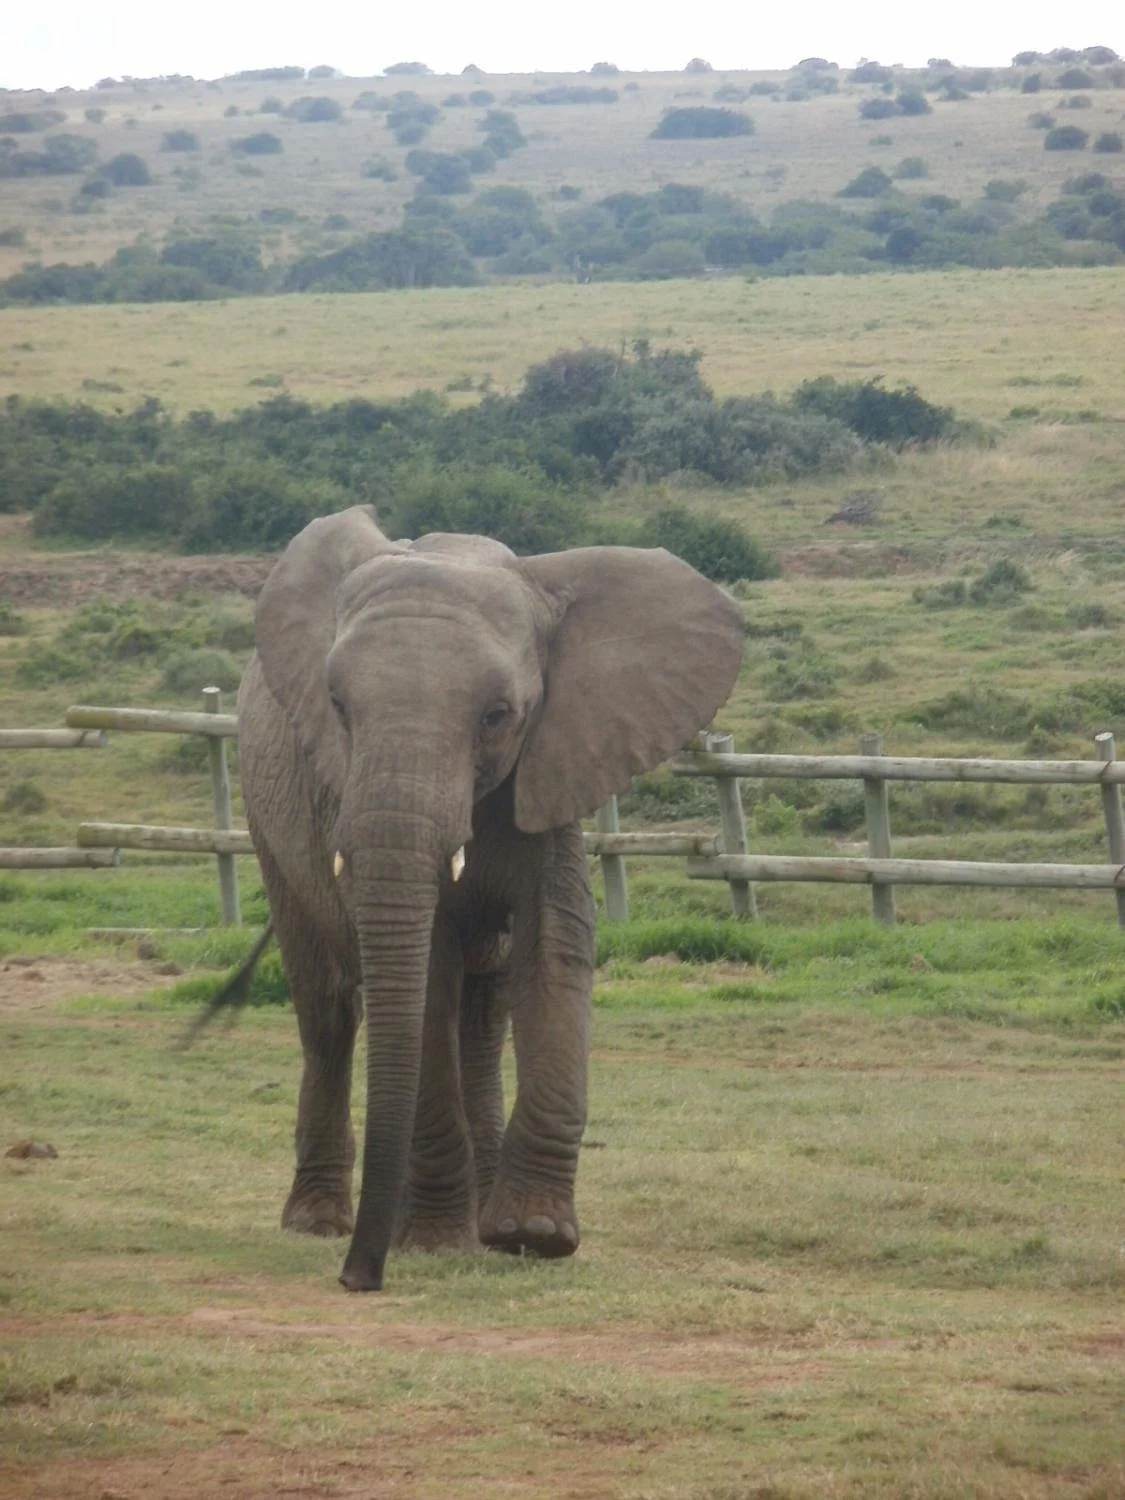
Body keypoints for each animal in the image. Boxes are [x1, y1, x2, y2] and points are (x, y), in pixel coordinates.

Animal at [236, 505, 744, 1292]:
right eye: (338, 707)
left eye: (498, 715)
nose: (358, 1279)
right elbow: (426, 977)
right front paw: (436, 1243)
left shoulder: (557, 762)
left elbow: (554, 949)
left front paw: (533, 1235)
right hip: (267, 822)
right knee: (325, 1011)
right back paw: (321, 1222)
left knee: (483, 1015)